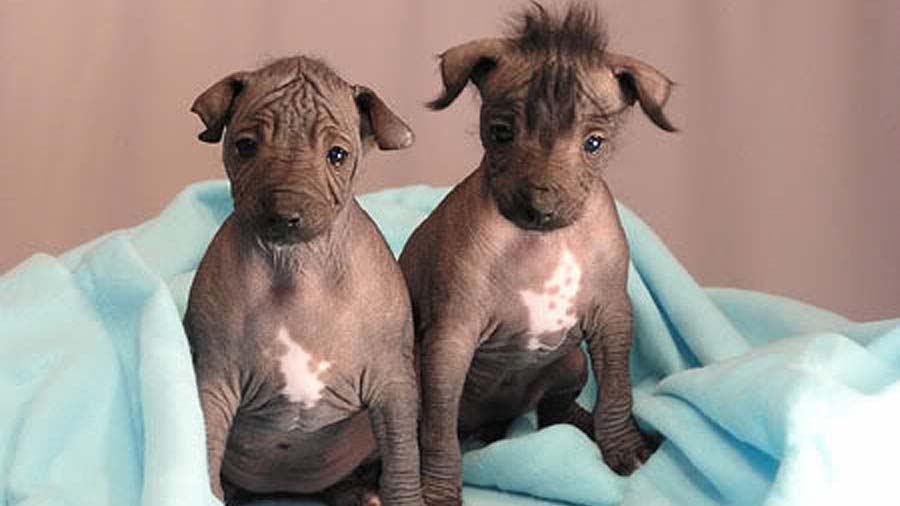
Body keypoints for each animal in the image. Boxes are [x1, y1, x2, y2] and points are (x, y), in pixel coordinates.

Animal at [184, 55, 426, 506]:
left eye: (337, 155)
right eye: (245, 146)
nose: (284, 213)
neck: (297, 267)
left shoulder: (395, 384)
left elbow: (403, 462)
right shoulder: (213, 382)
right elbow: (204, 454)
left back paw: (362, 492)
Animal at [400, 4, 676, 506]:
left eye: (594, 144)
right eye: (501, 133)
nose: (541, 207)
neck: (542, 243)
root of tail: (493, 421)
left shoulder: (613, 318)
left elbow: (617, 392)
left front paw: (625, 447)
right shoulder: (449, 340)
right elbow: (437, 429)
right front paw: (438, 489)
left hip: (570, 362)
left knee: (553, 412)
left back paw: (583, 424)